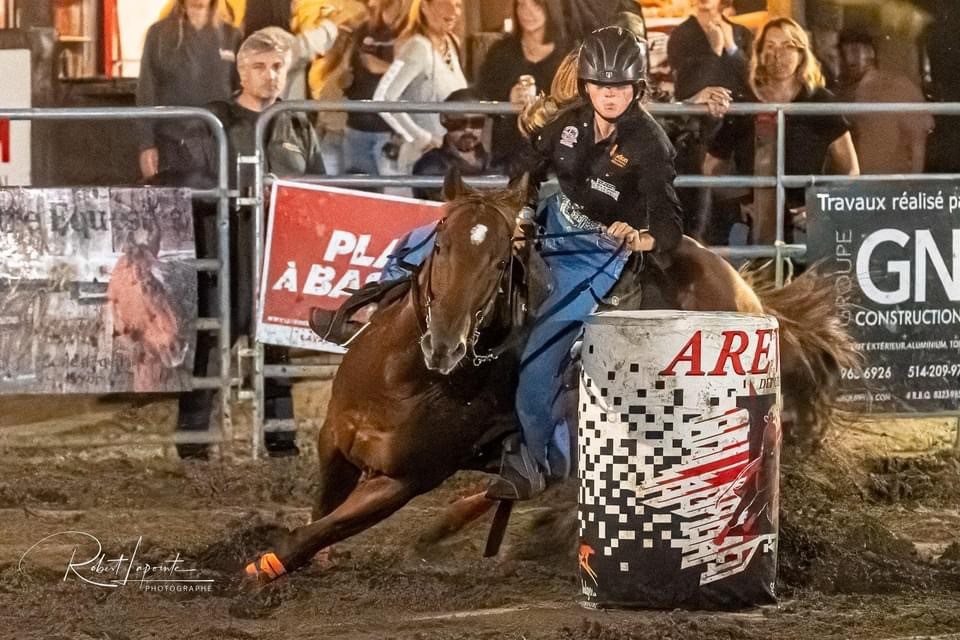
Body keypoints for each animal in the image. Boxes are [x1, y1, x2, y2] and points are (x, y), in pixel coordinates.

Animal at [244, 172, 860, 584]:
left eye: (500, 263)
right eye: (440, 244)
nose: (445, 344)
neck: (404, 378)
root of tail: (747, 296)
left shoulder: (403, 481)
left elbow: (318, 529)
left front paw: (262, 568)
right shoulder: (333, 441)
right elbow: (321, 513)